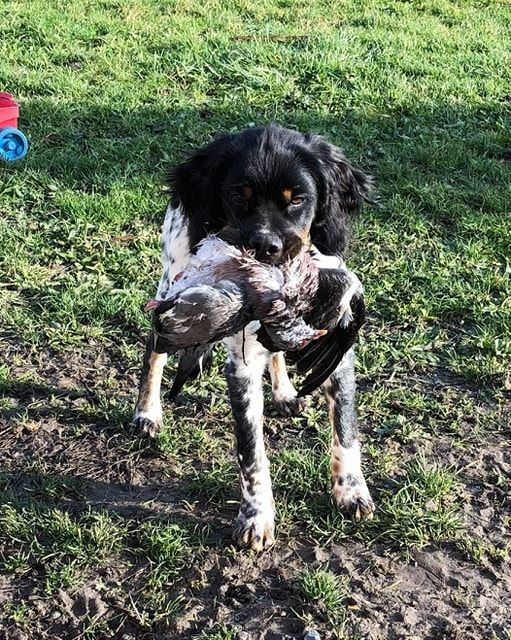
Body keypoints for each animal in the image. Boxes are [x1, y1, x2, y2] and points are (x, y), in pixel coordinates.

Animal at [132, 124, 376, 552]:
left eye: (298, 200)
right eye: (236, 196)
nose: (266, 248)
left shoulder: (338, 347)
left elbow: (345, 428)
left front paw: (350, 490)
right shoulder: (241, 364)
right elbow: (251, 452)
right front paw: (256, 516)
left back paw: (284, 392)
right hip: (172, 281)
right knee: (156, 346)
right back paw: (148, 412)